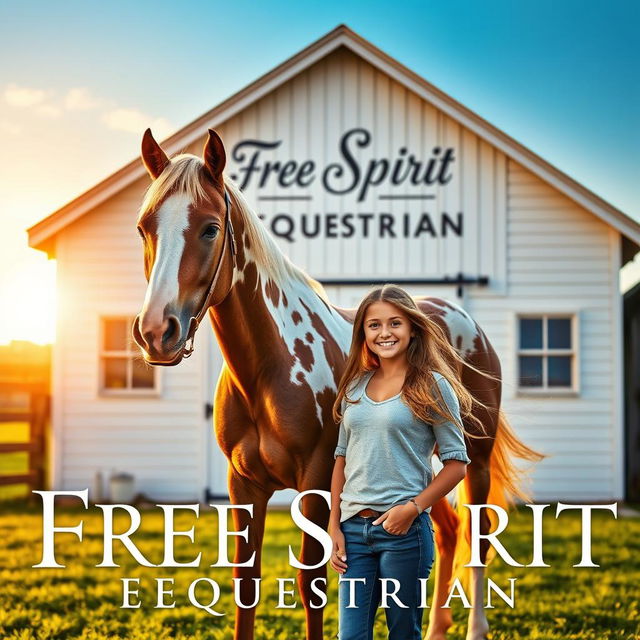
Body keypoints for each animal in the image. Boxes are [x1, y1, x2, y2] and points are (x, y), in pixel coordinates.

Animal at [132, 129, 544, 640]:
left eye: (210, 228)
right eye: (144, 228)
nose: (156, 331)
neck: (271, 367)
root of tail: (463, 321)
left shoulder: (317, 483)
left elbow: (312, 584)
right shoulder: (243, 485)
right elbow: (246, 583)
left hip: (476, 460)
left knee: (479, 536)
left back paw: (475, 629)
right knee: (447, 533)